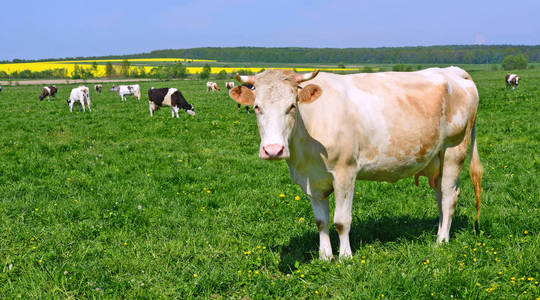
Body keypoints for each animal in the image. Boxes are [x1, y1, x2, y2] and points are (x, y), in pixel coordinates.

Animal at [229, 68, 486, 260]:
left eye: (292, 106)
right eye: (257, 107)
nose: (273, 150)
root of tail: (452, 71)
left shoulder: (345, 172)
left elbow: (341, 221)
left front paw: (345, 257)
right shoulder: (312, 179)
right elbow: (321, 221)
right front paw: (325, 256)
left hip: (454, 150)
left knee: (449, 196)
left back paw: (441, 241)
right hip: (436, 160)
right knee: (440, 197)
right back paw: (439, 232)